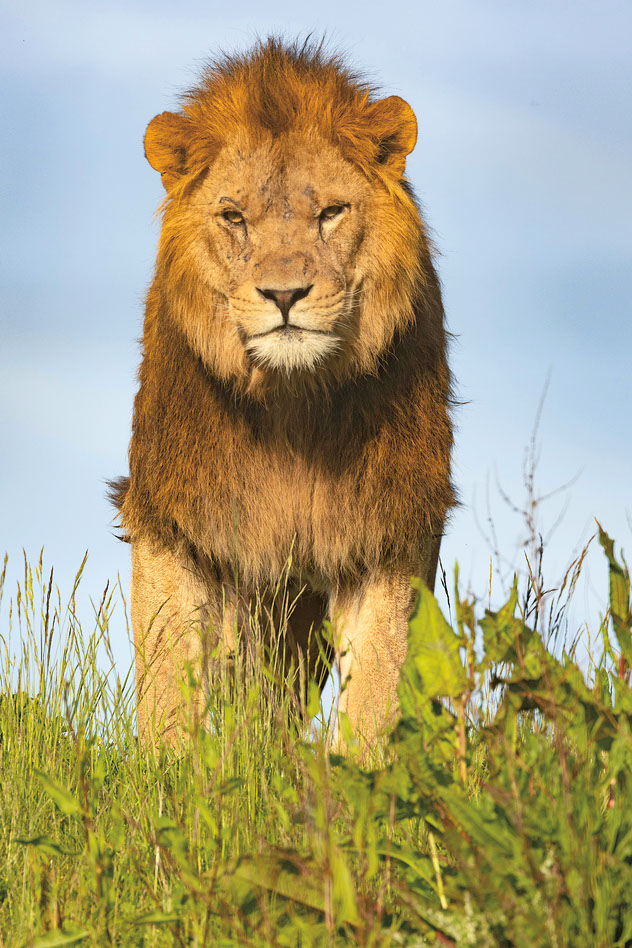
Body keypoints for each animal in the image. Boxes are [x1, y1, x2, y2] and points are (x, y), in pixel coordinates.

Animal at [108, 37, 454, 744]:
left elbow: (376, 687)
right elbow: (168, 679)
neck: (293, 403)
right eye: (234, 217)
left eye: (330, 213)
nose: (285, 294)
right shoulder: (171, 518)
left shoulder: (389, 530)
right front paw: (167, 770)